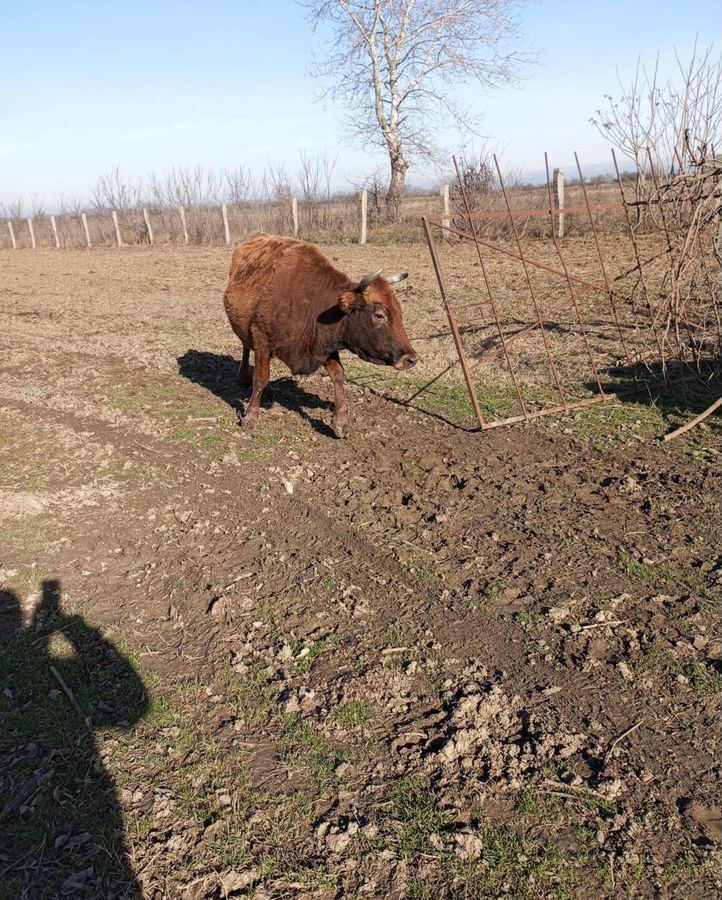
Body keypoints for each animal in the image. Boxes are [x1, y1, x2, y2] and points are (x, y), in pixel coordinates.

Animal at [224, 234, 416, 434]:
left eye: (399, 311)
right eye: (379, 315)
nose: (411, 359)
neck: (313, 303)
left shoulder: (326, 345)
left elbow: (338, 375)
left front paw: (341, 421)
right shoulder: (261, 338)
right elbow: (260, 378)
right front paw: (251, 416)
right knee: (246, 348)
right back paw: (243, 378)